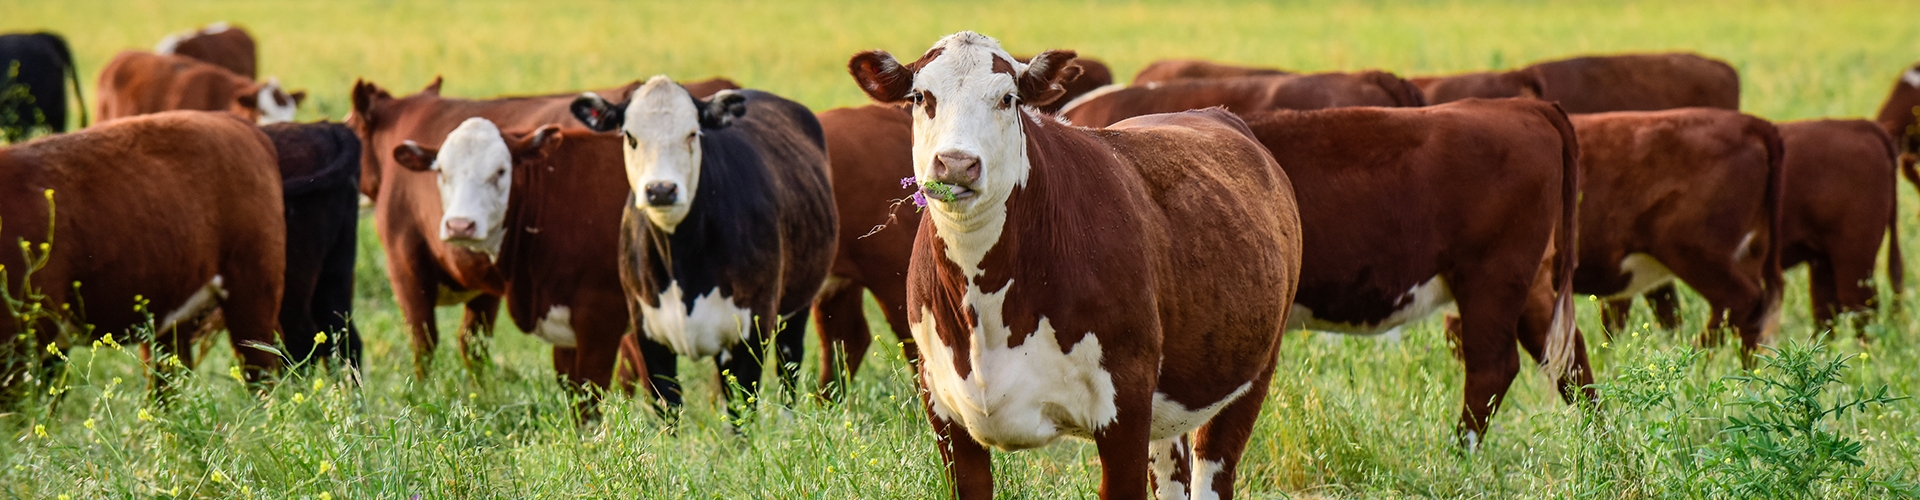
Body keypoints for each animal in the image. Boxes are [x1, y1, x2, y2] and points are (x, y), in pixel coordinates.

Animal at [0, 111, 284, 406]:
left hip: (252, 294)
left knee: (261, 373)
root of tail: (233, 121)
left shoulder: (19, 342)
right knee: (169, 384)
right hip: (175, 314)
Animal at [346, 76, 736, 377]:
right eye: (441, 171)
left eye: (500, 171)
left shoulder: (405, 269)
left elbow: (424, 346)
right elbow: (473, 347)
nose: (459, 225)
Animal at [571, 77, 837, 415]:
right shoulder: (648, 335)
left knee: (788, 371)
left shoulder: (752, 329)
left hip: (797, 306)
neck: (682, 260)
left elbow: (743, 410)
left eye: (692, 134)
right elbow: (667, 404)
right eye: (630, 137)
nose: (661, 190)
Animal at [849, 32, 1304, 500]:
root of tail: (1215, 115)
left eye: (1007, 98)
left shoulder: (1126, 406)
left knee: (1213, 470)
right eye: (921, 96)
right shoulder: (944, 409)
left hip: (1250, 374)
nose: (957, 163)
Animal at [1238, 98, 1589, 447]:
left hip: (1492, 277)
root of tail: (1522, 105)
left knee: (1493, 367)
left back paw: (1459, 454)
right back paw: (1595, 438)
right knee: (1568, 356)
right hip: (1530, 282)